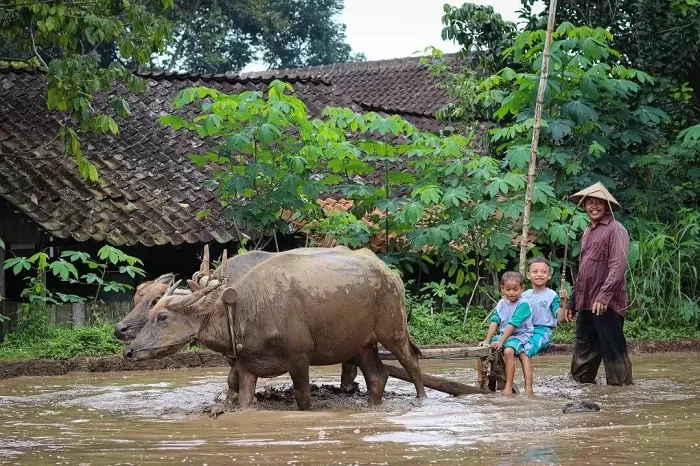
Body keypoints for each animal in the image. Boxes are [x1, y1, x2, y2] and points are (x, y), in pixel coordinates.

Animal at [123, 248, 424, 408]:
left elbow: (303, 398)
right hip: (361, 344)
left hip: (393, 331)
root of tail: (389, 273)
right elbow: (240, 394)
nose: (128, 350)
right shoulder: (246, 364)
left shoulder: (299, 358)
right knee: (377, 376)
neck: (245, 308)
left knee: (411, 362)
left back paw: (421, 398)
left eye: (162, 315)